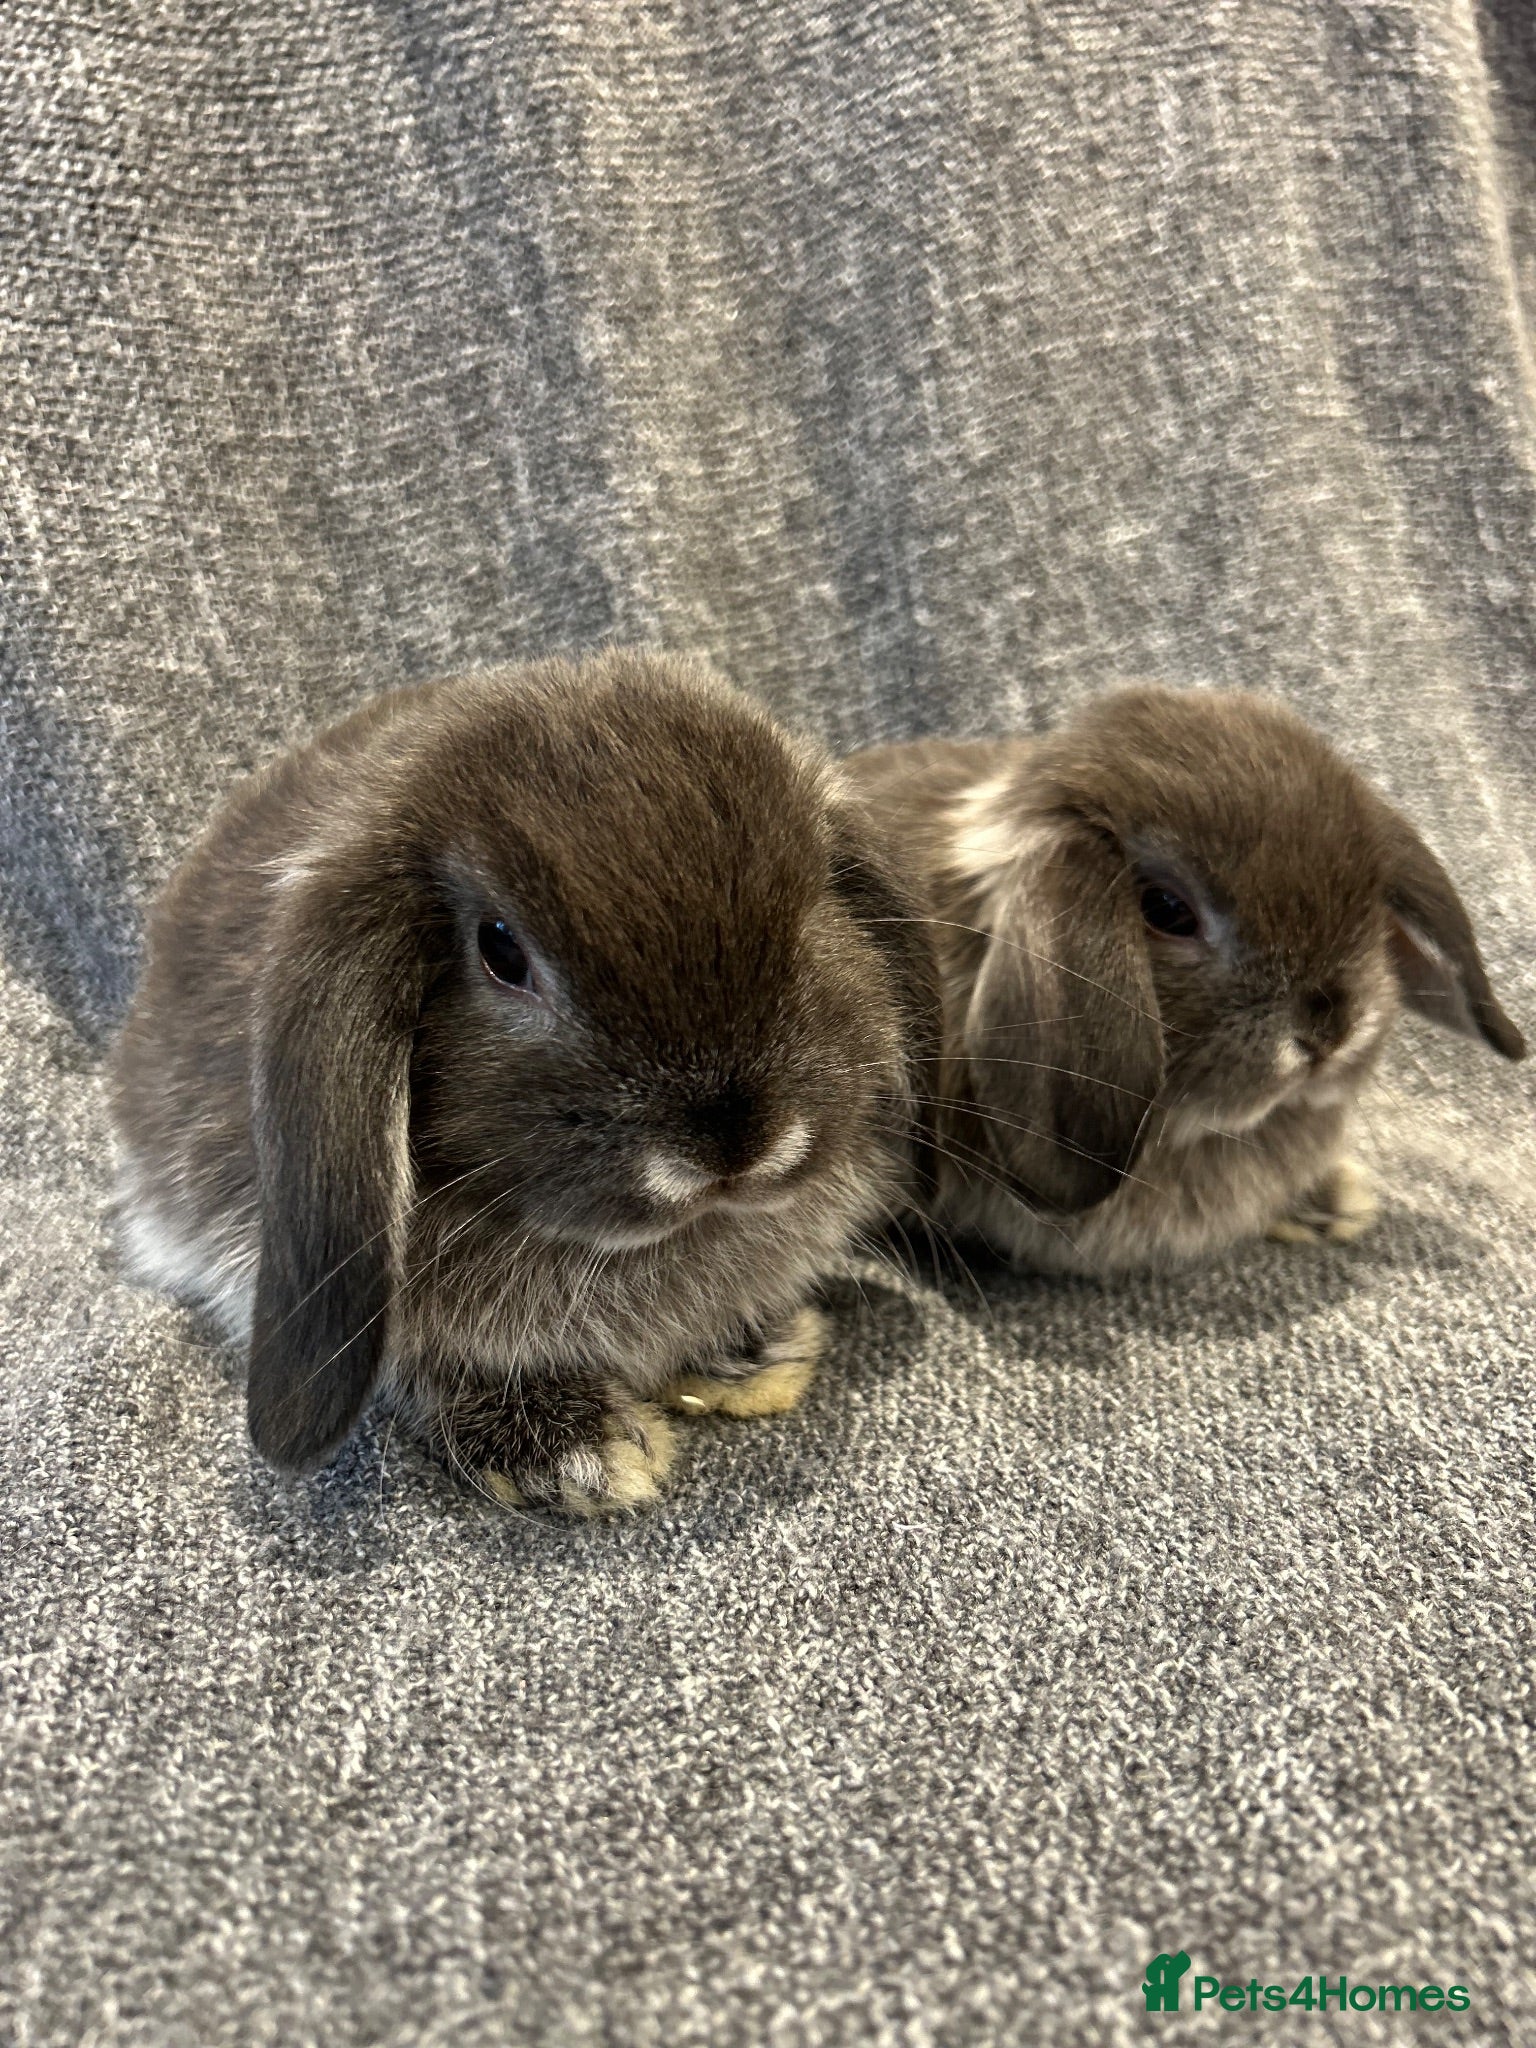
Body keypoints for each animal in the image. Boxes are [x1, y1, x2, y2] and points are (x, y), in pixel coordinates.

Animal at [110, 649, 938, 1510]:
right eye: (502, 952)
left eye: (813, 908)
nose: (734, 1146)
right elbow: (428, 1364)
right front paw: (573, 1449)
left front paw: (755, 1351)